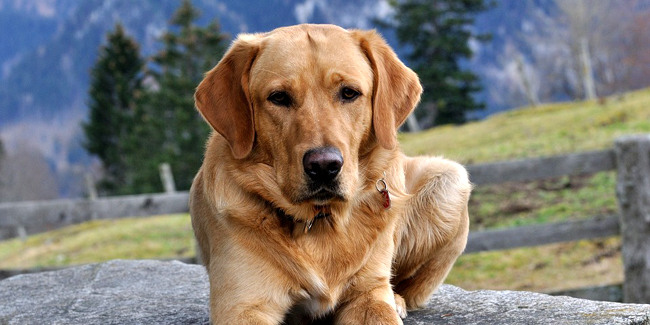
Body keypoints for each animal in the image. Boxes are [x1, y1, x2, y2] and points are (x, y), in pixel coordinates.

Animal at [190, 24, 468, 322]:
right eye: (279, 97)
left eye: (349, 93)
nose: (324, 165)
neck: (320, 220)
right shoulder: (241, 306)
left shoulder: (368, 294)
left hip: (451, 180)